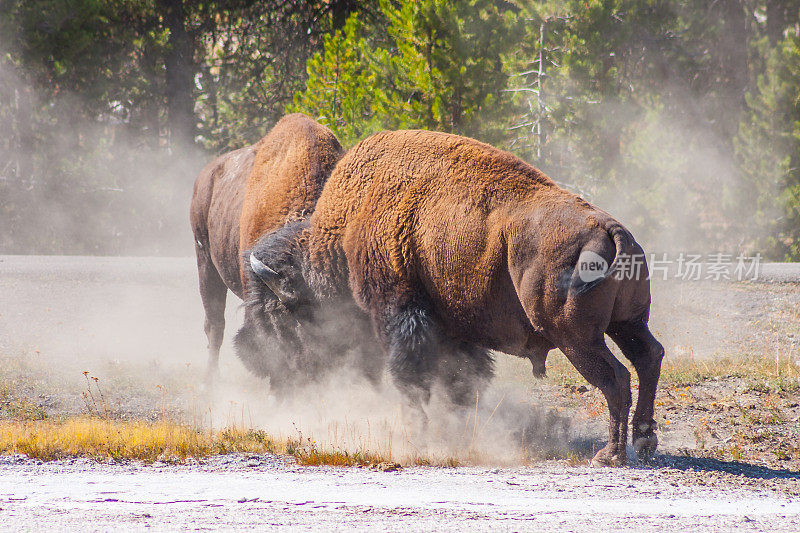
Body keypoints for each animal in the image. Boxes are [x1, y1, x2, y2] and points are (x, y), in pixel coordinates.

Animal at [247, 130, 664, 466]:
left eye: (281, 315)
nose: (270, 369)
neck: (345, 232)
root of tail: (609, 227)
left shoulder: (399, 312)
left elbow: (410, 376)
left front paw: (416, 434)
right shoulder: (453, 329)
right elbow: (460, 380)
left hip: (576, 337)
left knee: (615, 378)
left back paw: (610, 455)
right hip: (627, 323)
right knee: (648, 357)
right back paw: (644, 443)